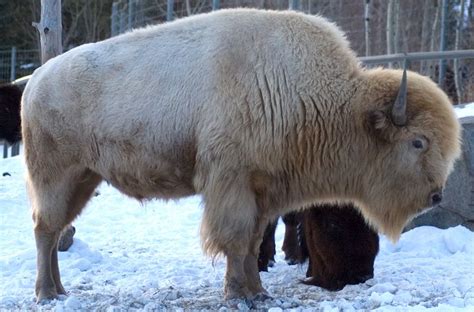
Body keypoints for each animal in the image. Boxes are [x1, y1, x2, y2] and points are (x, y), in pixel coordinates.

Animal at [21, 8, 460, 302]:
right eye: (418, 142)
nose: (436, 195)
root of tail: (36, 80)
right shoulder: (231, 184)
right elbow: (234, 239)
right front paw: (237, 294)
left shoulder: (263, 192)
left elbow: (251, 243)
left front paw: (258, 292)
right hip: (56, 175)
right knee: (45, 230)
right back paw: (46, 294)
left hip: (84, 178)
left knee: (56, 229)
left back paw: (59, 290)